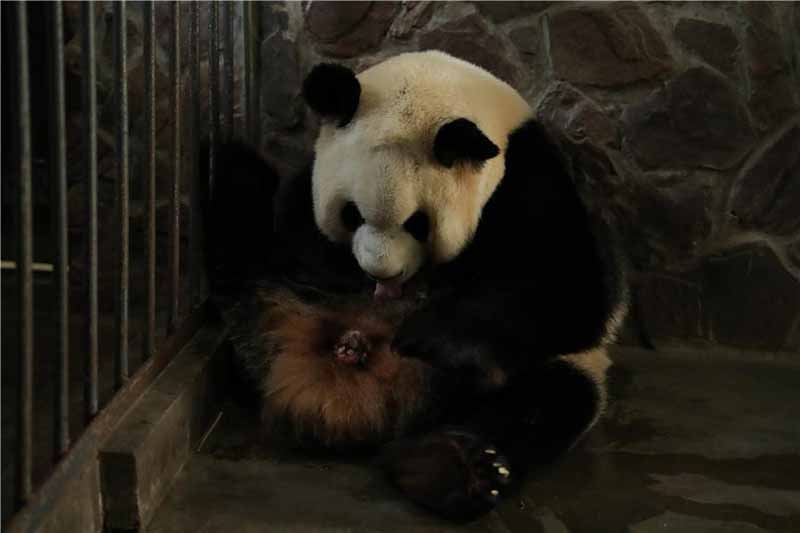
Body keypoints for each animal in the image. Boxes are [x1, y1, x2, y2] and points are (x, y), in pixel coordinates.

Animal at [205, 51, 628, 520]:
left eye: (418, 223)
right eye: (351, 213)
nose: (381, 275)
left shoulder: (528, 179)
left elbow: (572, 290)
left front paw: (432, 335)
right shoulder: (307, 185)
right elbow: (294, 234)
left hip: (545, 371)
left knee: (545, 401)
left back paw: (454, 469)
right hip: (262, 312)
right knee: (242, 216)